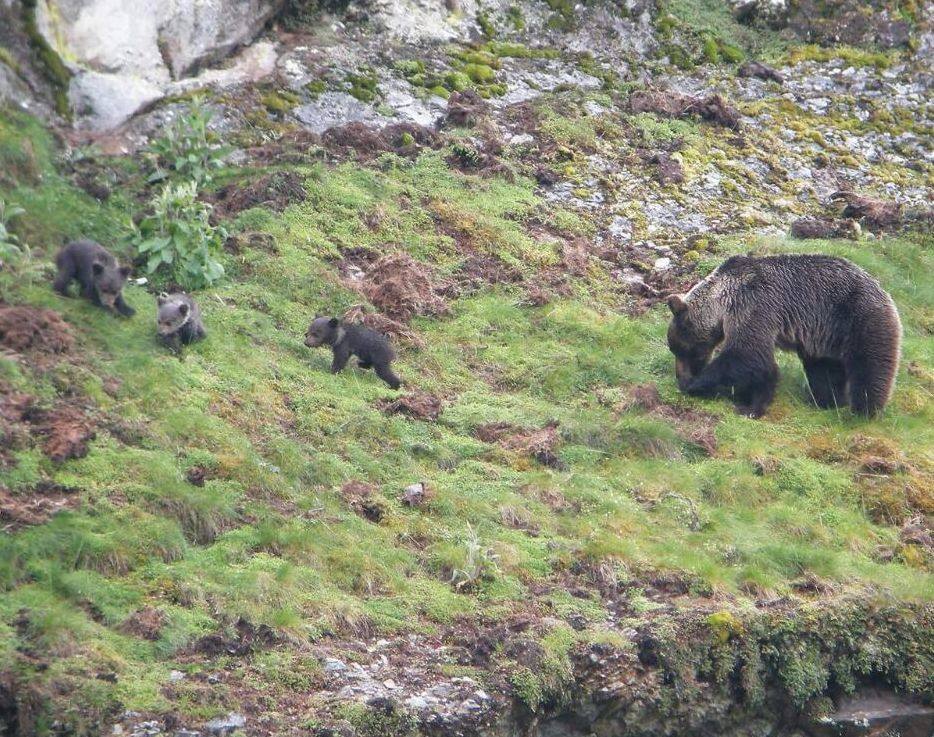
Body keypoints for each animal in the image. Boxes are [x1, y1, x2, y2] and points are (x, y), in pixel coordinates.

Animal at [666, 254, 901, 418]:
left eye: (682, 350)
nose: (680, 375)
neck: (722, 300)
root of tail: (885, 292)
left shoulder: (752, 306)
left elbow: (748, 355)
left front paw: (698, 385)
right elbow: (760, 365)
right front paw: (751, 401)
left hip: (861, 319)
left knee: (869, 368)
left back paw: (863, 411)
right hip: (825, 338)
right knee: (824, 371)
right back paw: (827, 401)